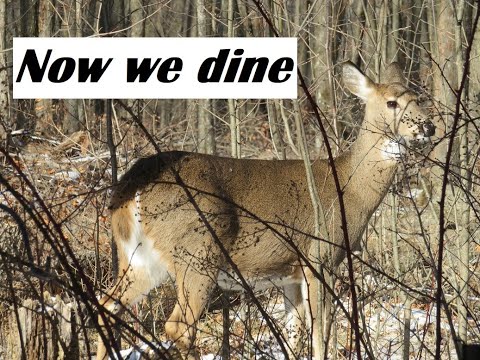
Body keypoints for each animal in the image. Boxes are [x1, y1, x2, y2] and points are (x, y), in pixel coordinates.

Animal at [95, 62, 434, 360]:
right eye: (392, 103)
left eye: (418, 98)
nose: (429, 126)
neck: (351, 189)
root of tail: (131, 184)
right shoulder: (319, 257)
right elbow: (322, 332)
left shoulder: (289, 273)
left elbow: (294, 334)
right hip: (198, 252)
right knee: (178, 326)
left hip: (141, 259)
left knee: (107, 307)